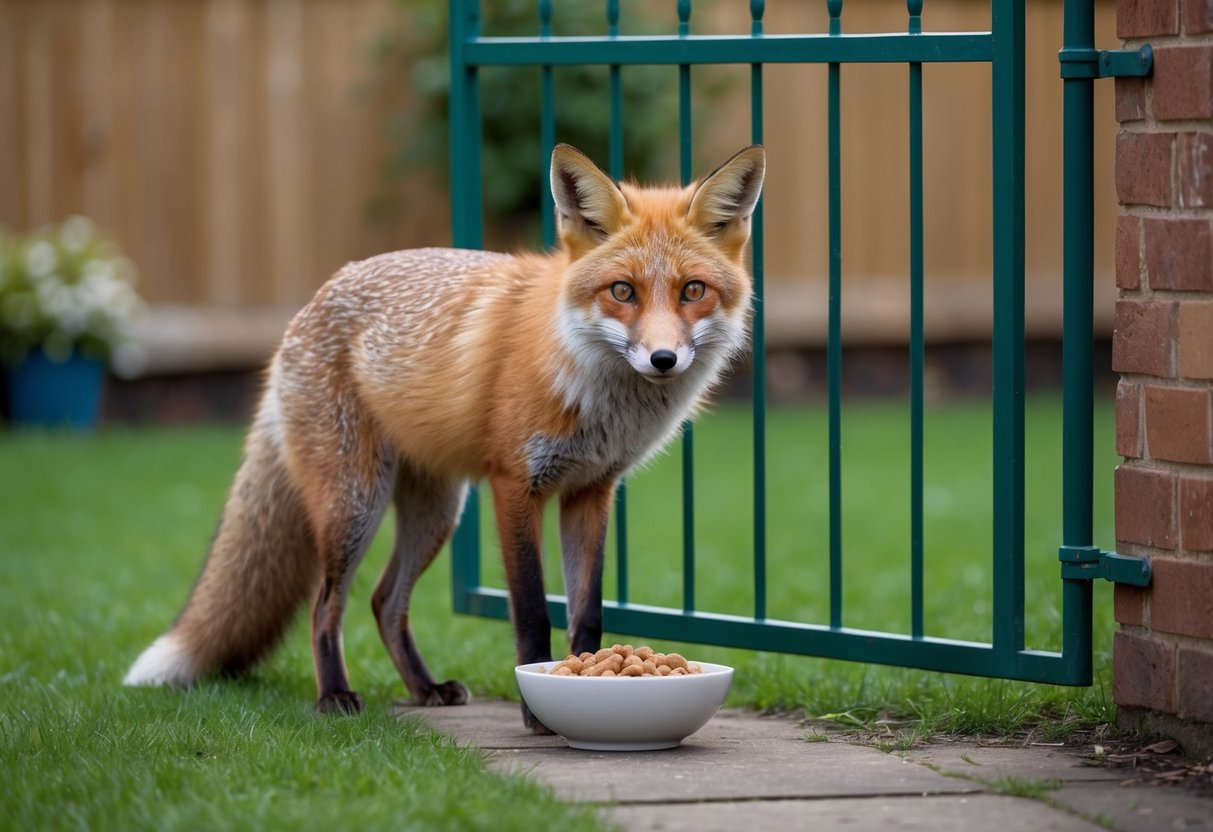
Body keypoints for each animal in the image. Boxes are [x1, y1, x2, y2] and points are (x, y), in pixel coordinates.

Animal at [124, 143, 765, 729]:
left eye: (692, 291)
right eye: (623, 291)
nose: (663, 359)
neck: (590, 387)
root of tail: (309, 305)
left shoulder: (591, 490)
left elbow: (587, 612)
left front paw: (585, 681)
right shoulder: (516, 484)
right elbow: (532, 610)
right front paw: (538, 711)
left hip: (436, 511)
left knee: (385, 601)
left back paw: (424, 687)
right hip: (355, 505)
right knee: (325, 605)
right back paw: (334, 695)